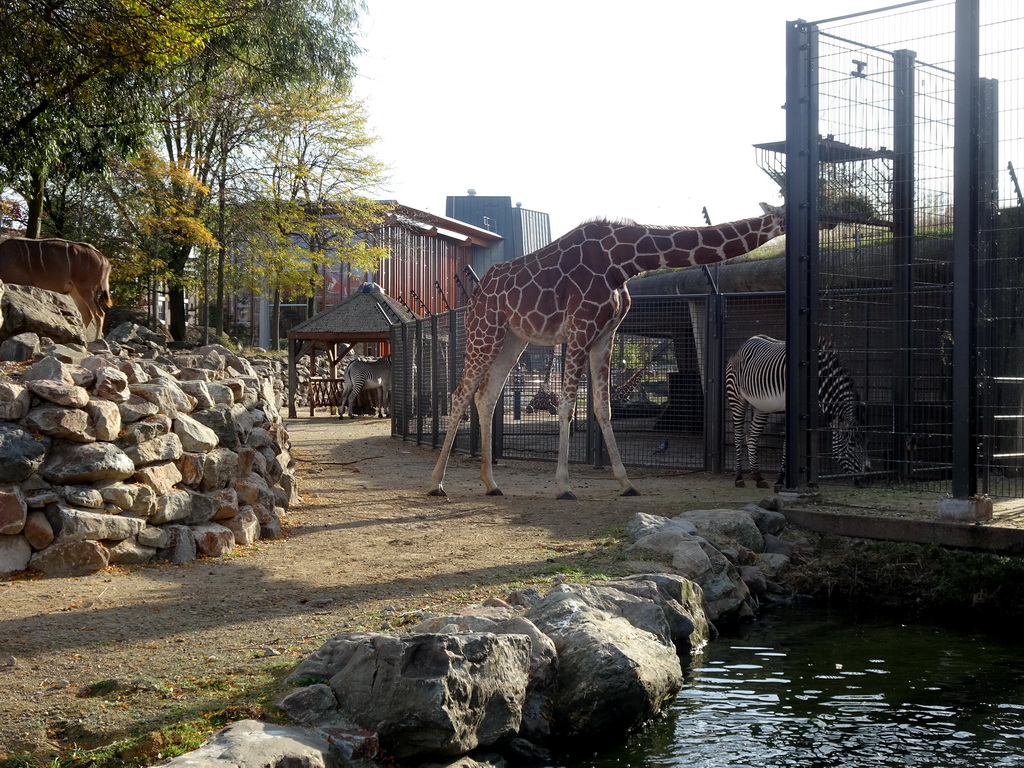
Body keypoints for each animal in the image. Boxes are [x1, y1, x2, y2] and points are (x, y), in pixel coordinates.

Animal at [724, 333, 868, 489]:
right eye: (852, 444)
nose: (863, 481)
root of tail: (746, 342)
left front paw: (807, 480)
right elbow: (787, 444)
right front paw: (781, 480)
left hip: (762, 406)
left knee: (751, 436)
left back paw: (758, 477)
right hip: (736, 398)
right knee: (739, 436)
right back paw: (739, 477)